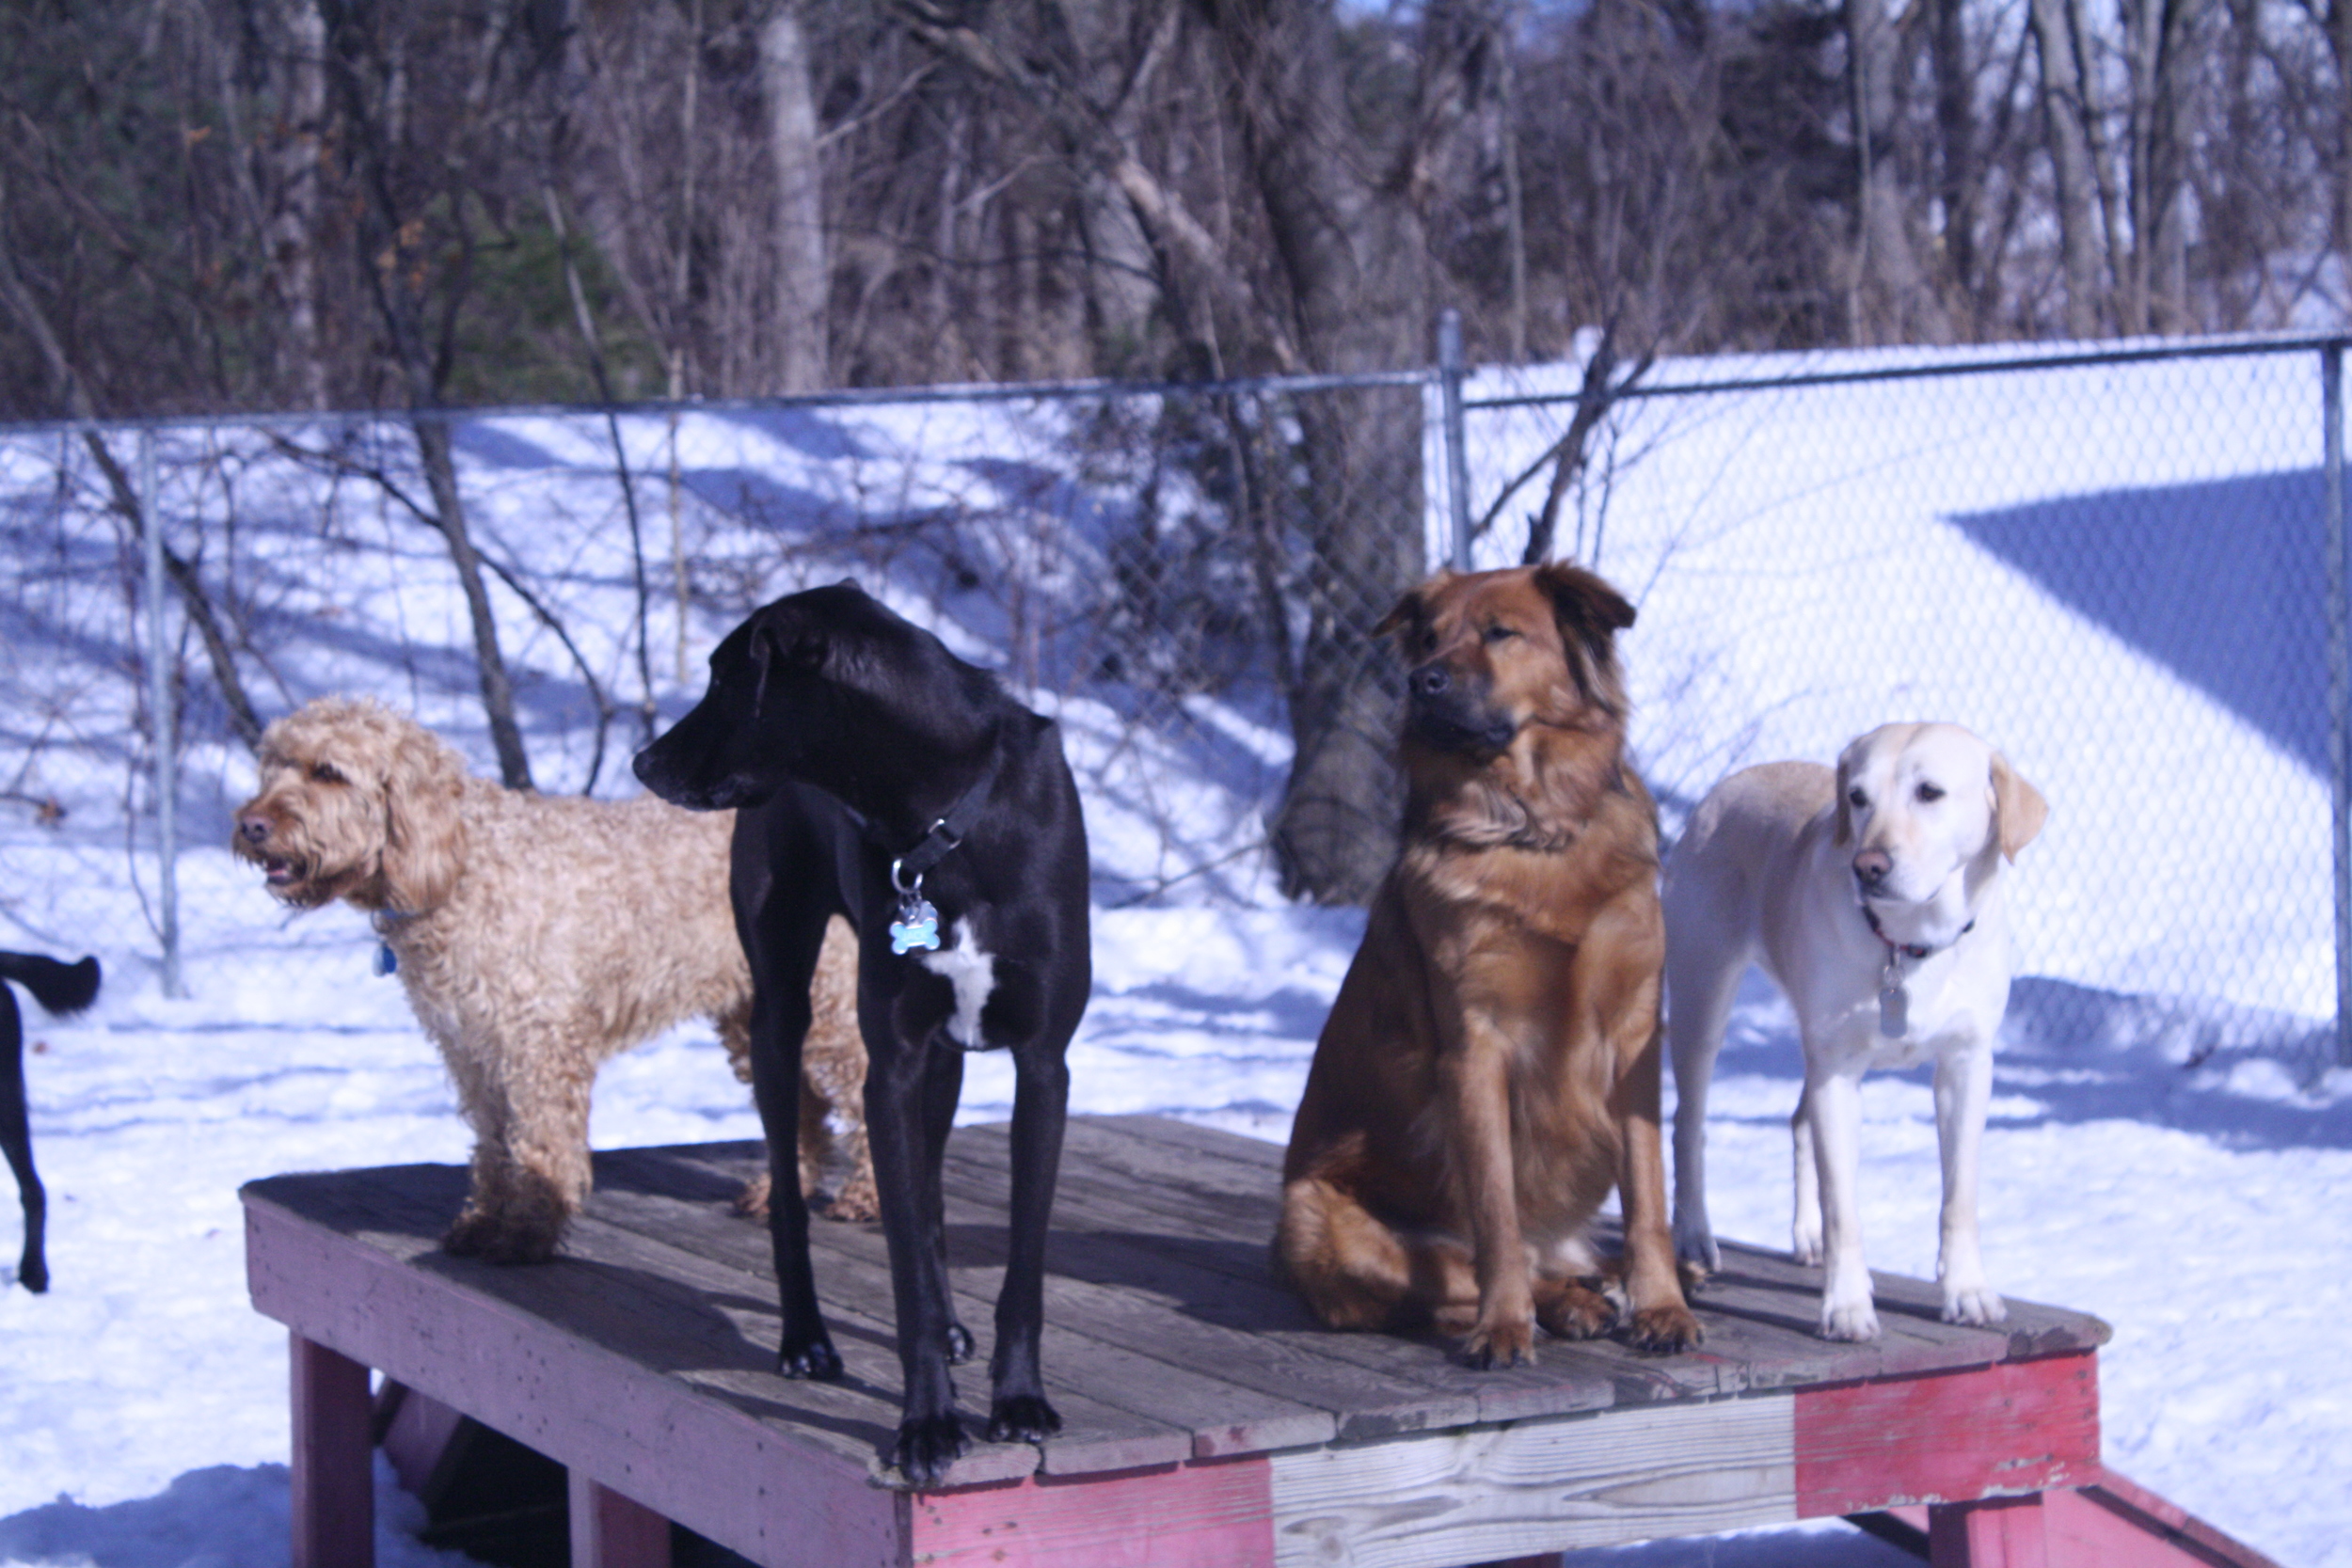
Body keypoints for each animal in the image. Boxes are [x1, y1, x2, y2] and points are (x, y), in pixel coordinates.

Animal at [231, 700, 875, 1259]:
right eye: (273, 766)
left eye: (329, 772)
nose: (250, 824)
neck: (463, 864)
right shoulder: (472, 1048)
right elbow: (495, 1146)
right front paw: (483, 1224)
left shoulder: (538, 1043)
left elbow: (541, 1145)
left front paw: (526, 1236)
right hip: (754, 1010)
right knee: (805, 1104)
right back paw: (780, 1192)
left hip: (829, 1002)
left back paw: (863, 1197)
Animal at [635, 582, 1091, 1495]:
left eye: (726, 678)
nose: (643, 762)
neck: (944, 817)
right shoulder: (893, 1066)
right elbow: (903, 1265)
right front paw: (927, 1423)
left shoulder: (1041, 1065)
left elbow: (1019, 1261)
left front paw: (1018, 1400)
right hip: (781, 1013)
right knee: (789, 1194)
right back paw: (806, 1337)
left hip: (946, 1061)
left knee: (933, 1196)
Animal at [1279, 563, 1703, 1363]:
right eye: (1427, 637)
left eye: (1502, 633)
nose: (1421, 681)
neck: (1534, 833)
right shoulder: (1477, 1047)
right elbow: (1495, 1214)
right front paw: (1504, 1325)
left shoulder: (1634, 1036)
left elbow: (1648, 1197)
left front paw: (1664, 1306)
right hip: (1318, 1221)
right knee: (1461, 1275)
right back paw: (1567, 1303)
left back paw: (1613, 1281)